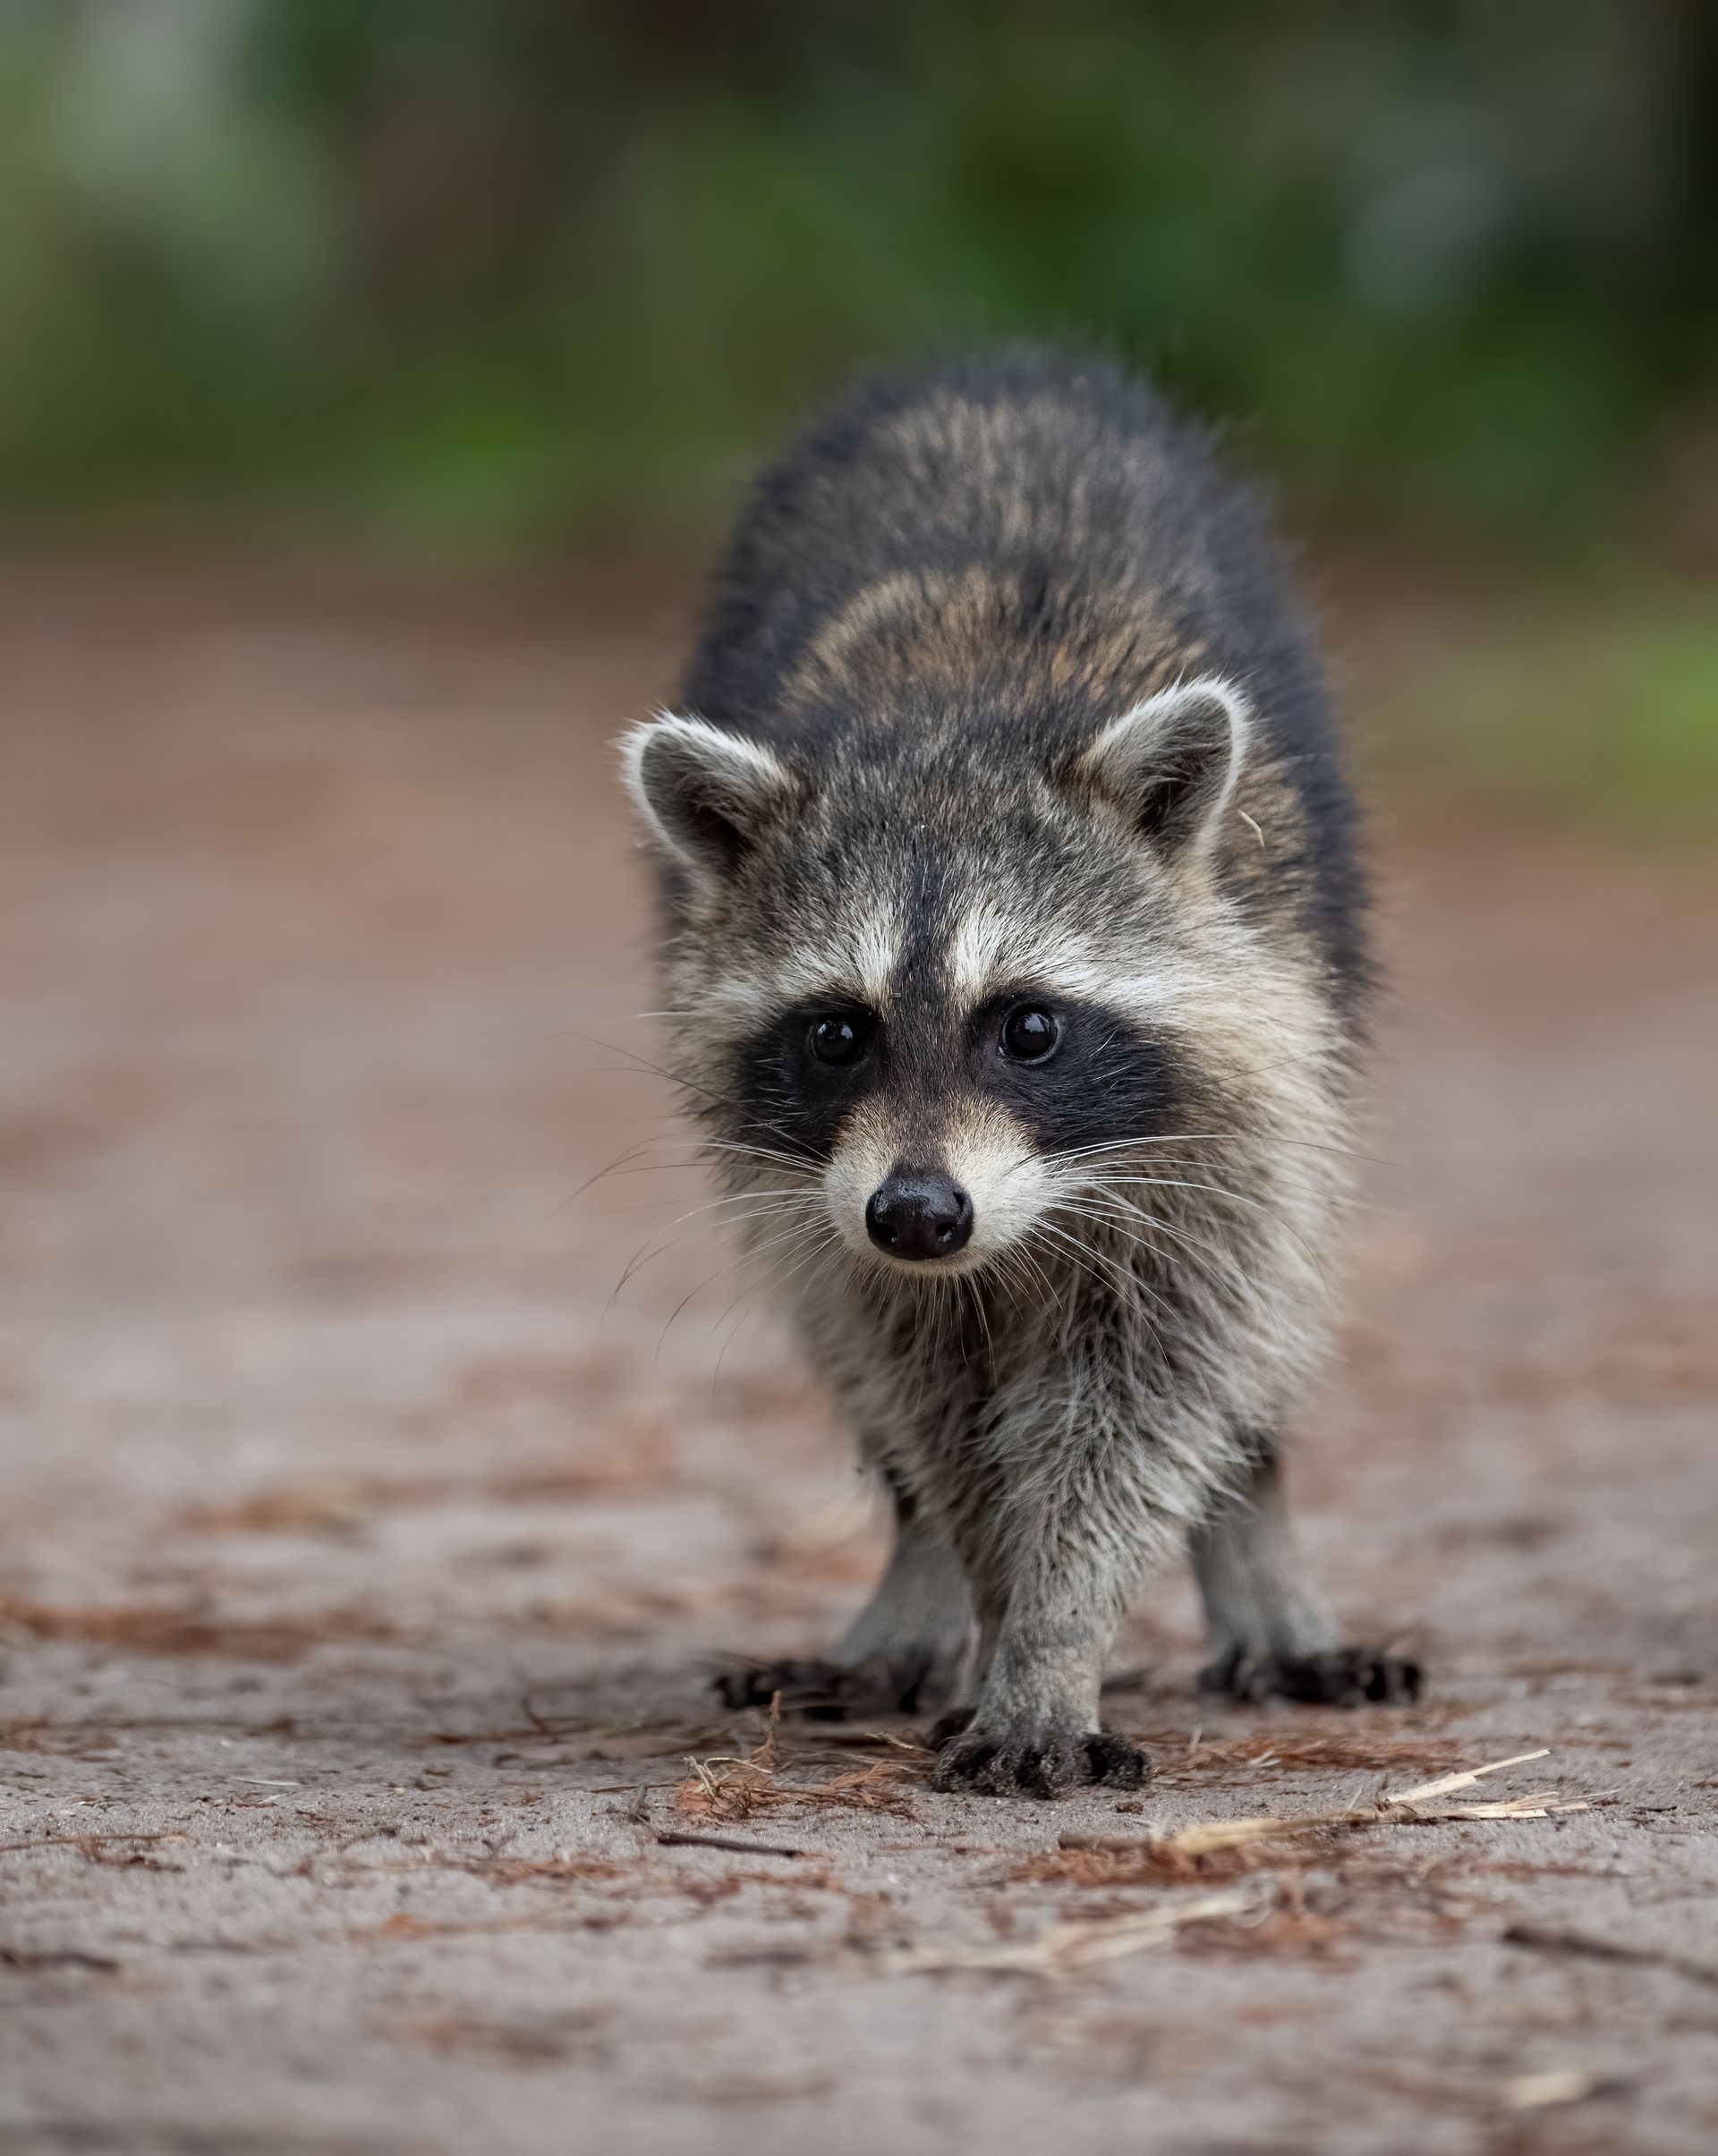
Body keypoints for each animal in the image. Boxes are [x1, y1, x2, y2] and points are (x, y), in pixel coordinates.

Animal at [621, 350, 1419, 1799]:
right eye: (839, 1033)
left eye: (1030, 1028)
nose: (920, 1215)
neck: (956, 733)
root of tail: (994, 364)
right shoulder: (836, 1204)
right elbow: (933, 1403)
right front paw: (996, 1606)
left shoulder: (1233, 1099)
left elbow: (1155, 1385)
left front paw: (1051, 1639)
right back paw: (919, 1577)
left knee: (1254, 1342)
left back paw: (1260, 1542)